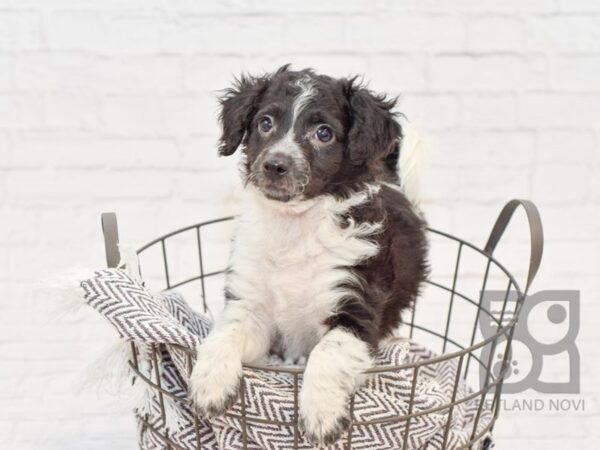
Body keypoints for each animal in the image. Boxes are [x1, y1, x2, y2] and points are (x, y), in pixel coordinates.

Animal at [190, 67, 428, 446]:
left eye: (324, 133)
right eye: (265, 123)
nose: (275, 165)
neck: (294, 227)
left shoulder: (356, 310)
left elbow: (327, 353)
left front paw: (321, 413)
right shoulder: (252, 305)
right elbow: (226, 333)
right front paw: (209, 381)